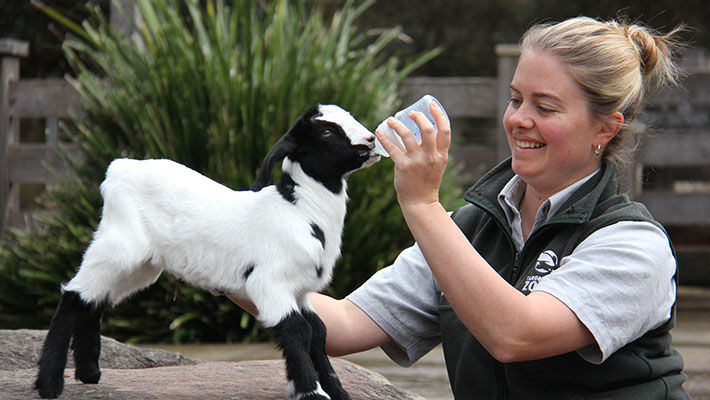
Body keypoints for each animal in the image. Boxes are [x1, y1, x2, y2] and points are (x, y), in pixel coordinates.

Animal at [34, 104, 382, 398]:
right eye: (326, 133)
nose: (371, 140)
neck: (299, 210)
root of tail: (119, 169)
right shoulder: (269, 283)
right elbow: (297, 331)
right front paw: (311, 392)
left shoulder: (299, 291)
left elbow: (318, 331)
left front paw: (337, 392)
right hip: (119, 246)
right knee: (73, 296)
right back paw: (49, 384)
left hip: (141, 265)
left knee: (94, 301)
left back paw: (89, 372)